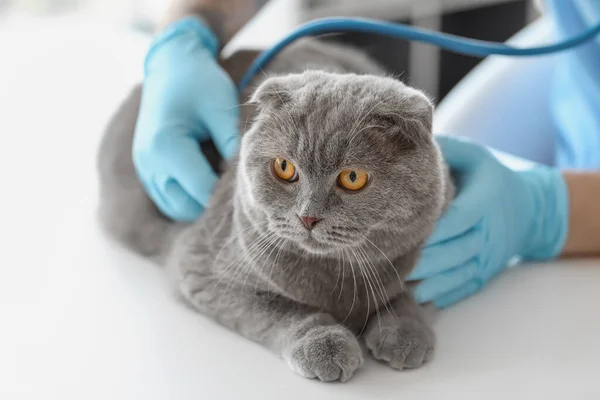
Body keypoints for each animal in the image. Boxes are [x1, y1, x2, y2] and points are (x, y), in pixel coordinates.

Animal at [98, 39, 452, 382]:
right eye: (284, 167)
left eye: (353, 177)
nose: (308, 216)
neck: (335, 276)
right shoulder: (202, 269)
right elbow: (281, 309)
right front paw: (324, 345)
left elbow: (414, 289)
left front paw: (406, 333)